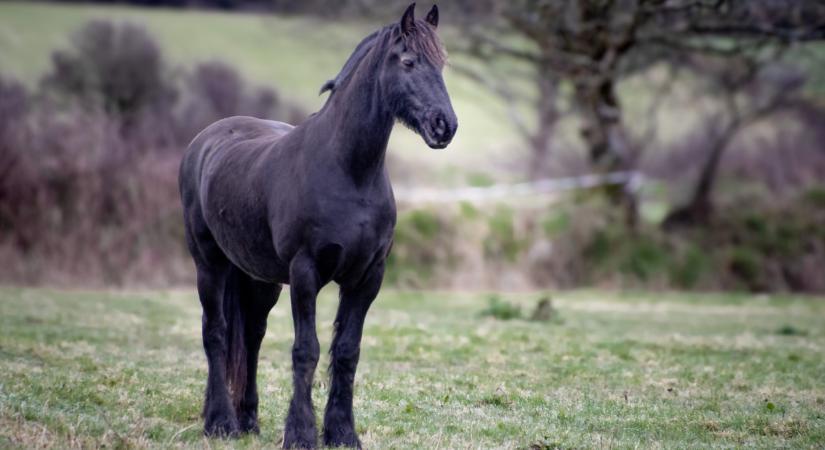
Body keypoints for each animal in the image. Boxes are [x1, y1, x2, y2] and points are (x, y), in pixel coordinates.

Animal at [178, 2, 458, 446]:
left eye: (442, 64)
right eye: (409, 61)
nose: (444, 126)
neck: (349, 172)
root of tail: (205, 140)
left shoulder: (368, 277)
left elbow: (346, 351)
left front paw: (342, 432)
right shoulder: (305, 272)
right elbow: (305, 349)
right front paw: (301, 433)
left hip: (259, 278)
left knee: (252, 336)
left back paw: (247, 419)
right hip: (209, 264)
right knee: (215, 331)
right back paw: (220, 422)